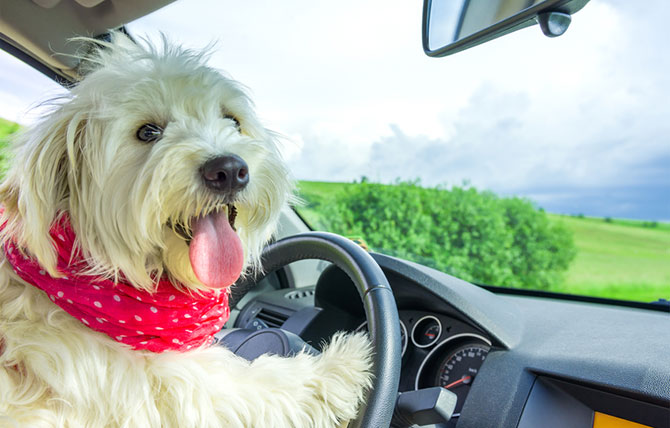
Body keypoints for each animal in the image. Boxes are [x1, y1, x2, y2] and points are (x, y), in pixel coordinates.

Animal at [0, 34, 372, 428]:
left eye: (232, 120)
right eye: (148, 132)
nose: (229, 170)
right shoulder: (172, 391)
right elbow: (264, 387)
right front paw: (342, 362)